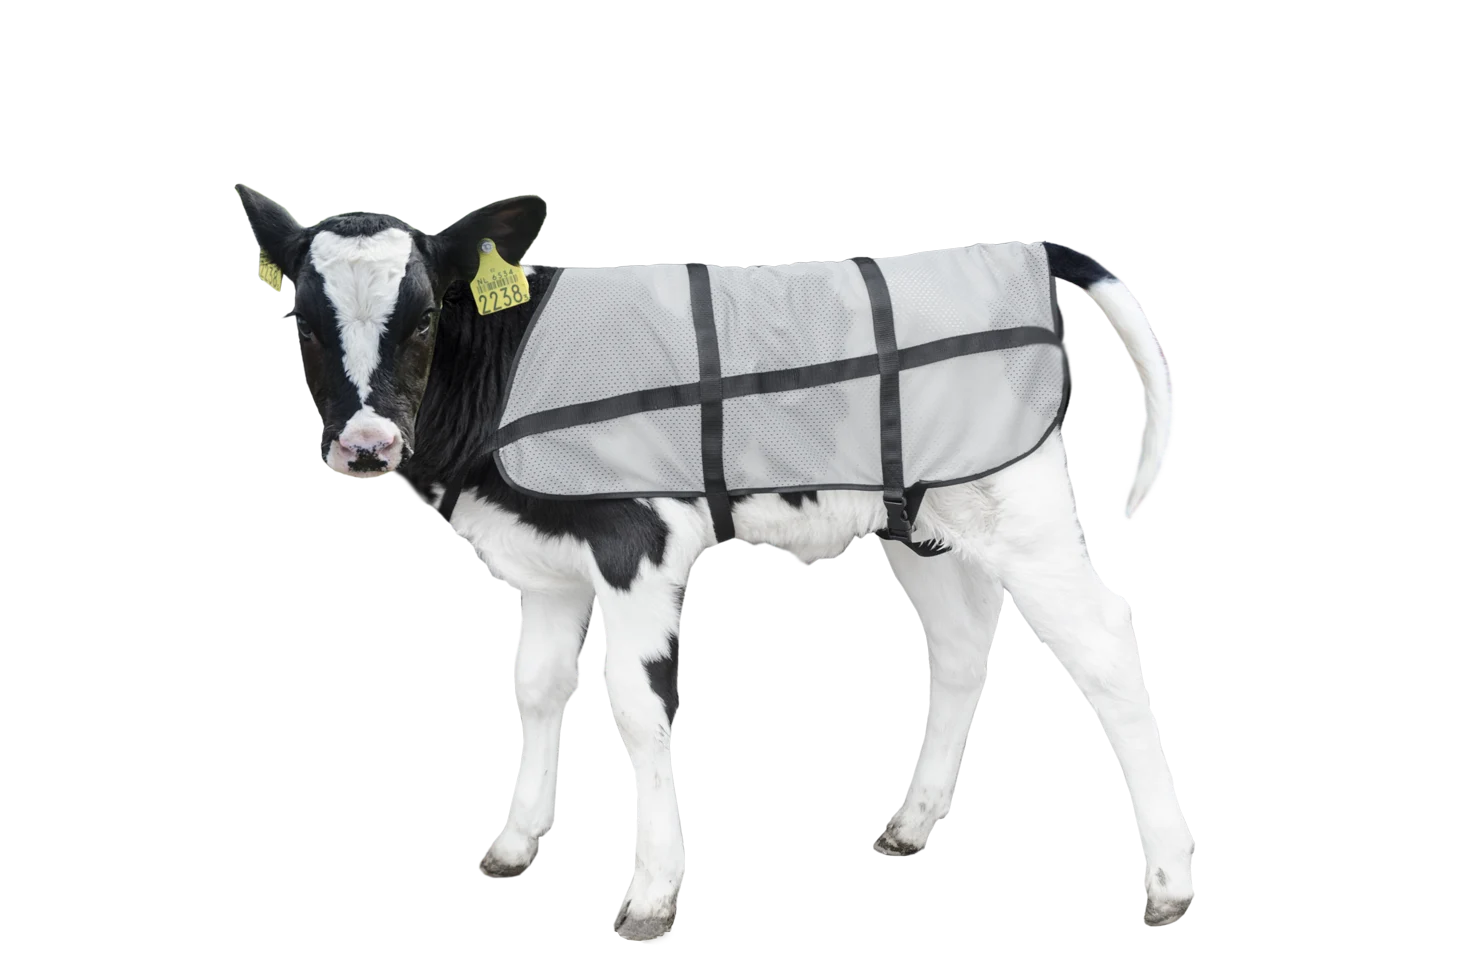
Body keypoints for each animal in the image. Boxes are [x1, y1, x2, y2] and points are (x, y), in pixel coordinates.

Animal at [235, 184, 1192, 943]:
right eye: (303, 322)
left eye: (427, 314)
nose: (365, 446)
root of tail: (1024, 247)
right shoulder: (548, 561)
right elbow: (536, 690)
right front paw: (513, 842)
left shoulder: (635, 540)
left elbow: (636, 707)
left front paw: (652, 891)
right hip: (917, 516)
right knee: (960, 646)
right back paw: (913, 826)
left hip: (1018, 505)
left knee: (1105, 645)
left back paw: (1171, 881)